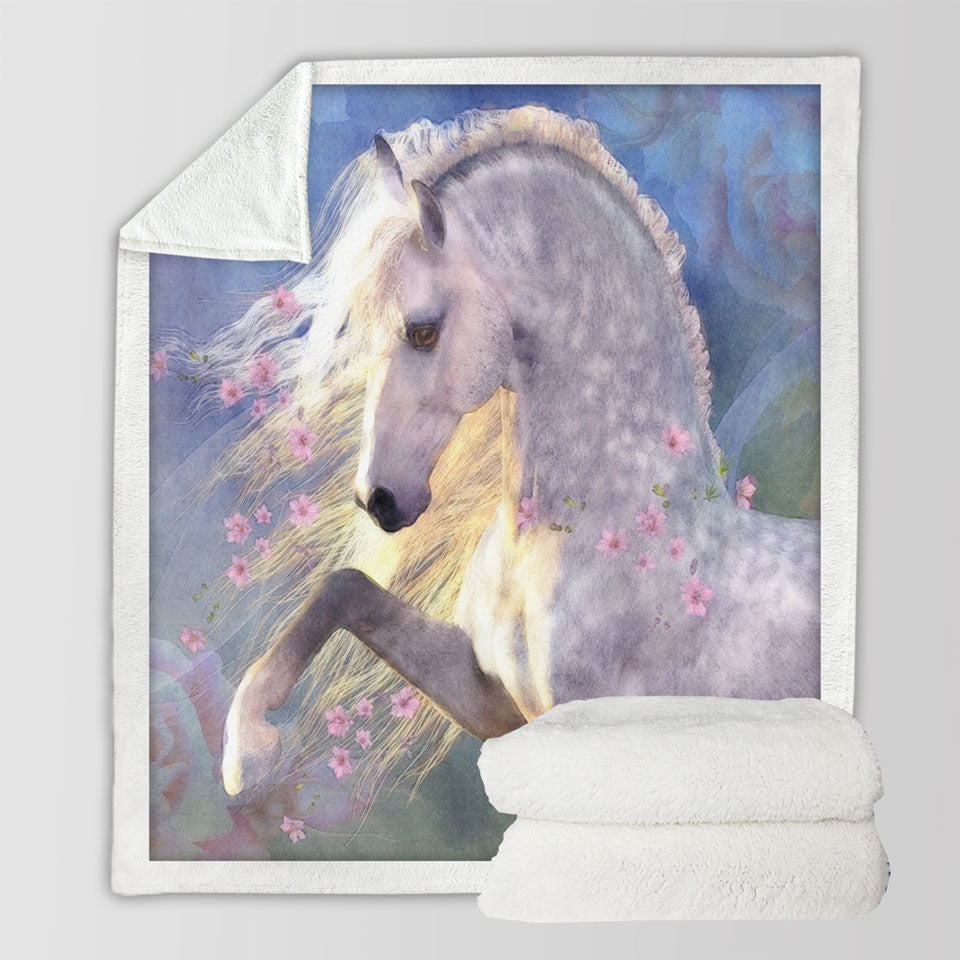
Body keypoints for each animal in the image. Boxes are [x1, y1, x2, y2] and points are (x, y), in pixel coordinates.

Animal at [221, 106, 820, 795]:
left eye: (422, 331)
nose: (377, 499)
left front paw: (248, 747)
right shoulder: (490, 698)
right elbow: (342, 588)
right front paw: (246, 750)